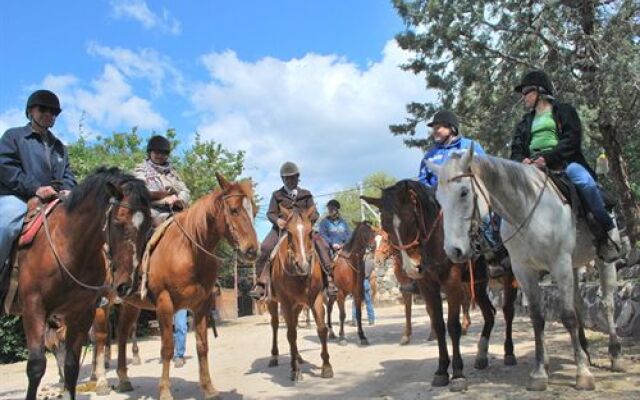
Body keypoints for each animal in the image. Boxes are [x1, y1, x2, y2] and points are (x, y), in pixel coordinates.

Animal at [9, 168, 152, 400]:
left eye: (148, 226)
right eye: (117, 223)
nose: (128, 283)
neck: (67, 246)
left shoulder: (84, 310)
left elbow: (74, 360)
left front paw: (98, 379)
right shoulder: (34, 308)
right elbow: (43, 365)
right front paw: (96, 378)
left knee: (124, 332)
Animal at [90, 174, 260, 400]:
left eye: (254, 211)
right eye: (234, 210)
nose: (252, 251)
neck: (188, 251)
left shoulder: (201, 305)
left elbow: (202, 345)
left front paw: (209, 388)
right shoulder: (165, 304)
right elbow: (167, 348)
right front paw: (164, 391)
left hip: (130, 305)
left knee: (123, 333)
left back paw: (124, 379)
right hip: (103, 303)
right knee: (100, 337)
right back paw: (100, 380)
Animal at [266, 206, 336, 382]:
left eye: (310, 232)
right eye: (289, 233)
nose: (303, 265)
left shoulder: (316, 298)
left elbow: (321, 329)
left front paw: (326, 366)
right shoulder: (285, 302)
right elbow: (290, 334)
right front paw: (294, 370)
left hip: (298, 305)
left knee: (295, 325)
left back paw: (298, 356)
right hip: (273, 302)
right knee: (275, 325)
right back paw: (274, 357)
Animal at [364, 180, 500, 392]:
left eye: (411, 219)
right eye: (385, 226)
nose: (412, 267)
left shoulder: (452, 285)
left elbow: (452, 326)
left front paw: (458, 373)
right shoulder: (428, 288)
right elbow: (437, 323)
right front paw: (442, 370)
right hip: (477, 287)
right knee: (490, 313)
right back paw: (481, 356)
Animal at [428, 145, 624, 390]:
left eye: (464, 192)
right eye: (439, 199)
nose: (453, 251)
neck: (529, 211)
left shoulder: (559, 264)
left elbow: (568, 316)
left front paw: (583, 374)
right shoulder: (524, 271)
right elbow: (537, 317)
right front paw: (540, 372)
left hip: (602, 261)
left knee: (607, 303)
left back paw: (614, 355)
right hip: (574, 265)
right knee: (579, 304)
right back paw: (585, 352)